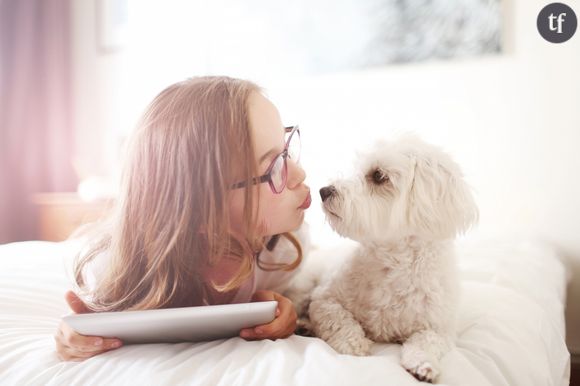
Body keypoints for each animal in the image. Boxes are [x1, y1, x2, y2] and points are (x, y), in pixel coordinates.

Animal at [310, 136, 478, 382]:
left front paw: (423, 364)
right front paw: (353, 343)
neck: (394, 263)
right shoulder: (324, 299)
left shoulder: (439, 329)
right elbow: (338, 319)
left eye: (378, 176)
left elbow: (426, 341)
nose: (324, 191)